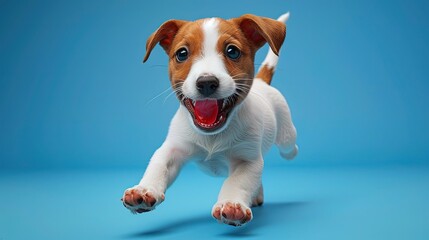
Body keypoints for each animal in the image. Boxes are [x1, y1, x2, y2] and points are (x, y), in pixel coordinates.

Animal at [122, 12, 296, 227]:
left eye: (232, 51)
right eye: (182, 53)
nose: (206, 82)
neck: (213, 136)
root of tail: (261, 82)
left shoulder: (248, 160)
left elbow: (237, 182)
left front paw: (232, 204)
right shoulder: (172, 148)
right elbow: (158, 166)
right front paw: (144, 189)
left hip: (286, 135)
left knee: (289, 148)